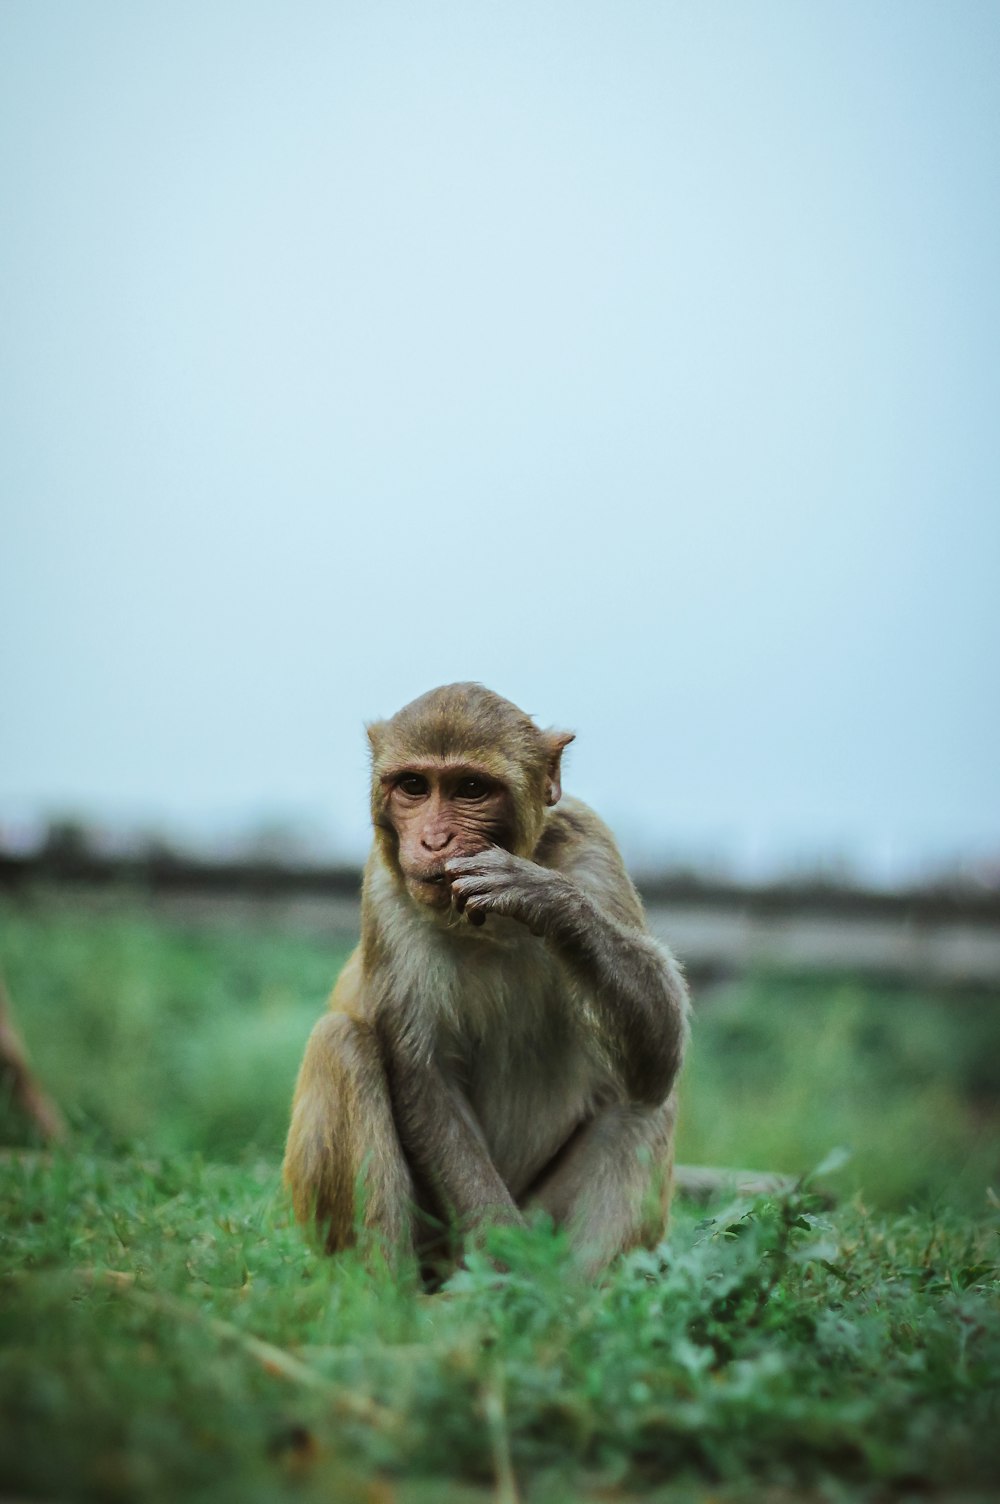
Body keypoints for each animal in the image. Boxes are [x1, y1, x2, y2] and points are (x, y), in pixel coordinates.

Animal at [281, 688, 685, 1275]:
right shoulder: (384, 889)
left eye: (471, 789)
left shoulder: (593, 847)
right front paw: (504, 1255)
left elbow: (658, 1058)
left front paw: (545, 899)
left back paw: (568, 1297)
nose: (434, 840)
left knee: (641, 1102)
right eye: (414, 786)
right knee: (341, 1042)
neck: (486, 925)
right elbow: (425, 1078)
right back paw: (390, 1294)